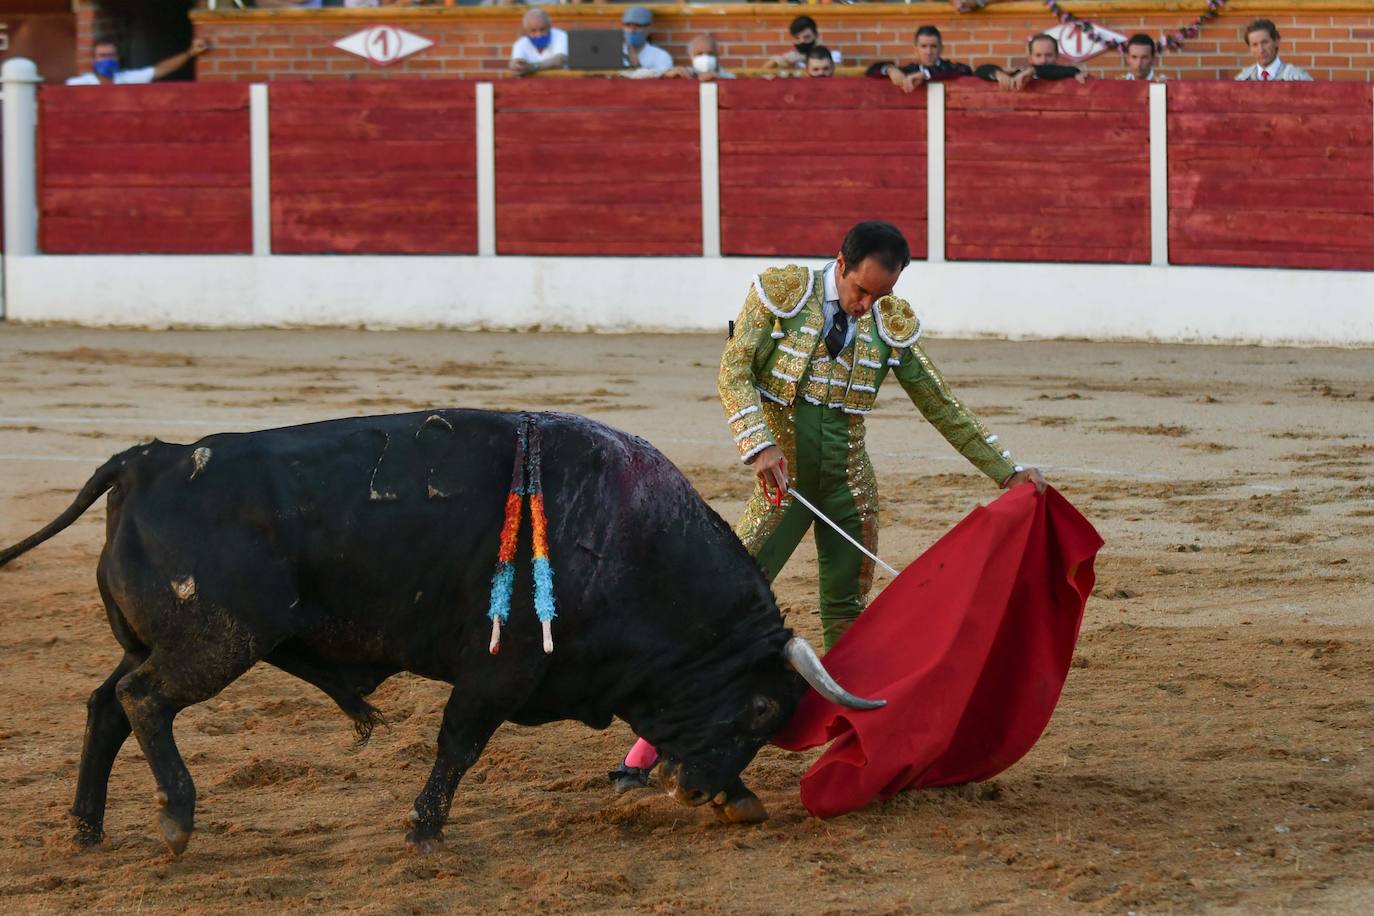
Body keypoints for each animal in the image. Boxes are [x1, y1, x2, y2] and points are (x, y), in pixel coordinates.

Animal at [0, 411, 879, 856]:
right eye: (762, 710)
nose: (702, 791)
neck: (630, 542)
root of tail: (149, 458)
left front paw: (740, 799)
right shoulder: (499, 671)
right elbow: (457, 745)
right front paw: (424, 830)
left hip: (157, 640)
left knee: (106, 704)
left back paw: (86, 827)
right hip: (213, 643)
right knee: (143, 701)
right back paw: (176, 817)